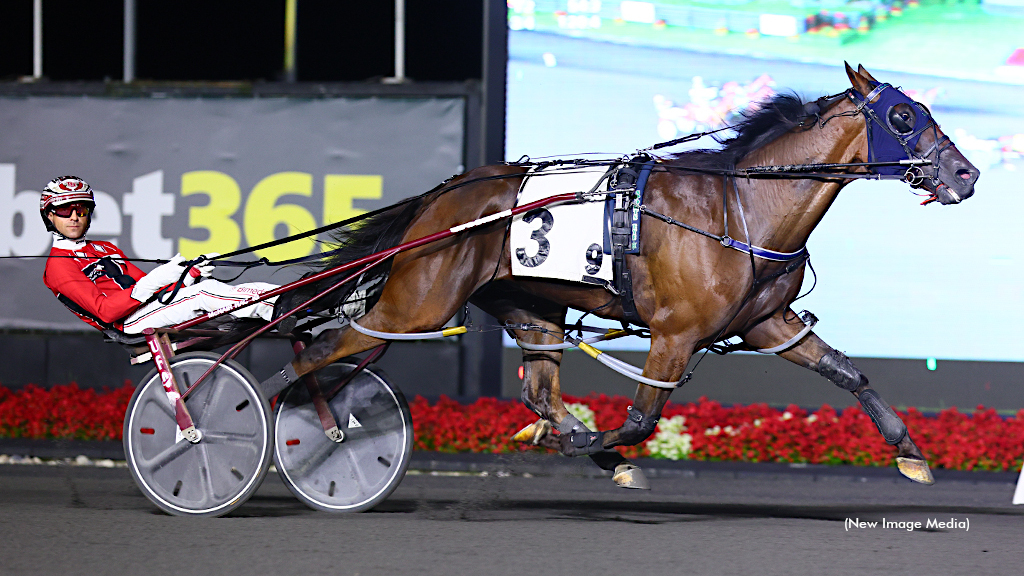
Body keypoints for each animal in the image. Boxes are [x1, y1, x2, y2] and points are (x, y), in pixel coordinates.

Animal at [262, 65, 974, 485]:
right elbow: (640, 417)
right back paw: (265, 414)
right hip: (417, 303)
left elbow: (847, 372)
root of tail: (443, 194)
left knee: (540, 389)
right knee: (318, 352)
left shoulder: (769, 323)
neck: (741, 207)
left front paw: (909, 450)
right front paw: (590, 445)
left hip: (529, 306)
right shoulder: (675, 333)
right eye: (904, 117)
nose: (965, 173)